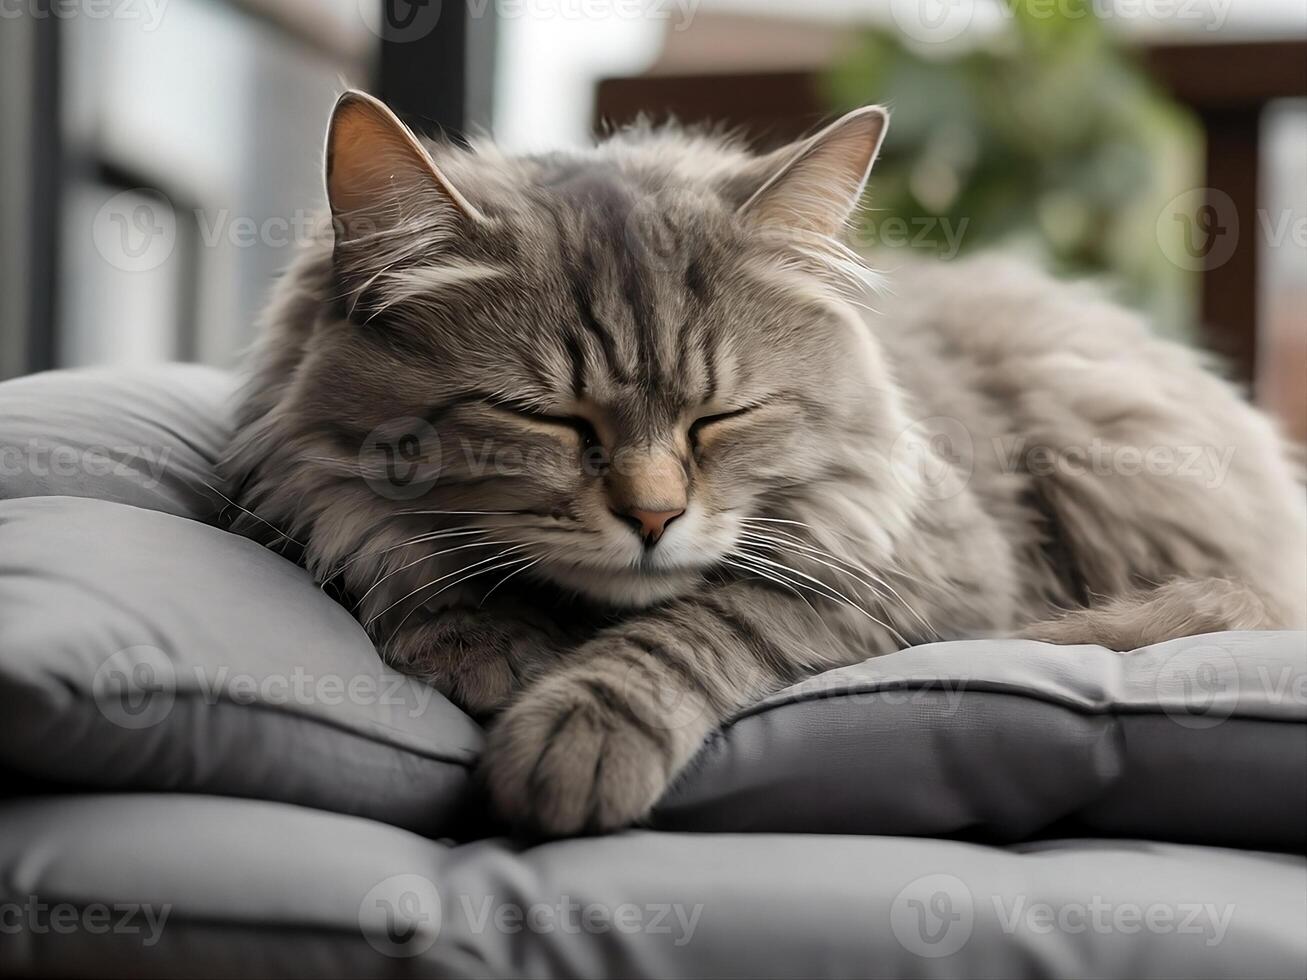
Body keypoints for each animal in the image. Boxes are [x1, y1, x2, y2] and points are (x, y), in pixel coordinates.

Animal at [224, 92, 1307, 841]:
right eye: (546, 419)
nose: (652, 517)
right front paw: (484, 643)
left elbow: (708, 619)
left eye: (721, 419)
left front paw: (571, 736)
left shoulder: (921, 566)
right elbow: (397, 553)